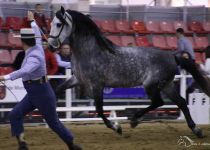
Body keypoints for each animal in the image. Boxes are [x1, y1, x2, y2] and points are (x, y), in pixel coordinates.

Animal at [48, 6, 210, 138]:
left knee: (159, 102)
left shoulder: (97, 85)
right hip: (167, 85)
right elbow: (56, 90)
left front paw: (117, 127)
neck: (90, 52)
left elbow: (99, 109)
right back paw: (196, 130)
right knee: (181, 102)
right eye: (50, 23)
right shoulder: (77, 79)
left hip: (151, 85)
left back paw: (134, 119)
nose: (50, 46)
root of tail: (172, 56)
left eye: (59, 24)